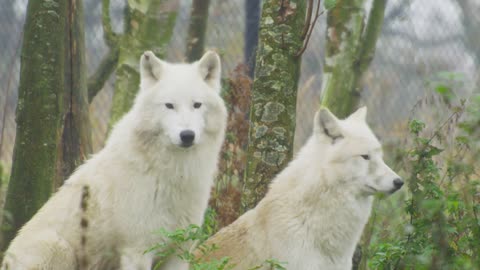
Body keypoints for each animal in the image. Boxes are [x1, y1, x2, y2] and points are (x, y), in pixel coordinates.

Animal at [2, 50, 227, 270]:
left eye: (197, 105)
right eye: (169, 106)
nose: (187, 135)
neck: (174, 172)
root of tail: (5, 260)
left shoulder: (178, 252)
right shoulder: (137, 253)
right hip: (59, 247)